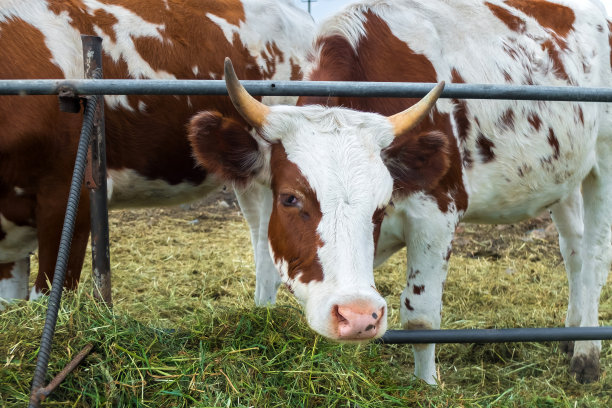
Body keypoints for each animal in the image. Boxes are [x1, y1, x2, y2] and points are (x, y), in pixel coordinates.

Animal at [189, 0, 608, 382]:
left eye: (381, 205)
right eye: (290, 198)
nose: (358, 316)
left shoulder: (437, 211)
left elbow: (421, 318)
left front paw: (426, 386)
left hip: (603, 167)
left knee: (594, 256)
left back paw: (586, 354)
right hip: (563, 180)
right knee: (573, 251)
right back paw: (571, 333)